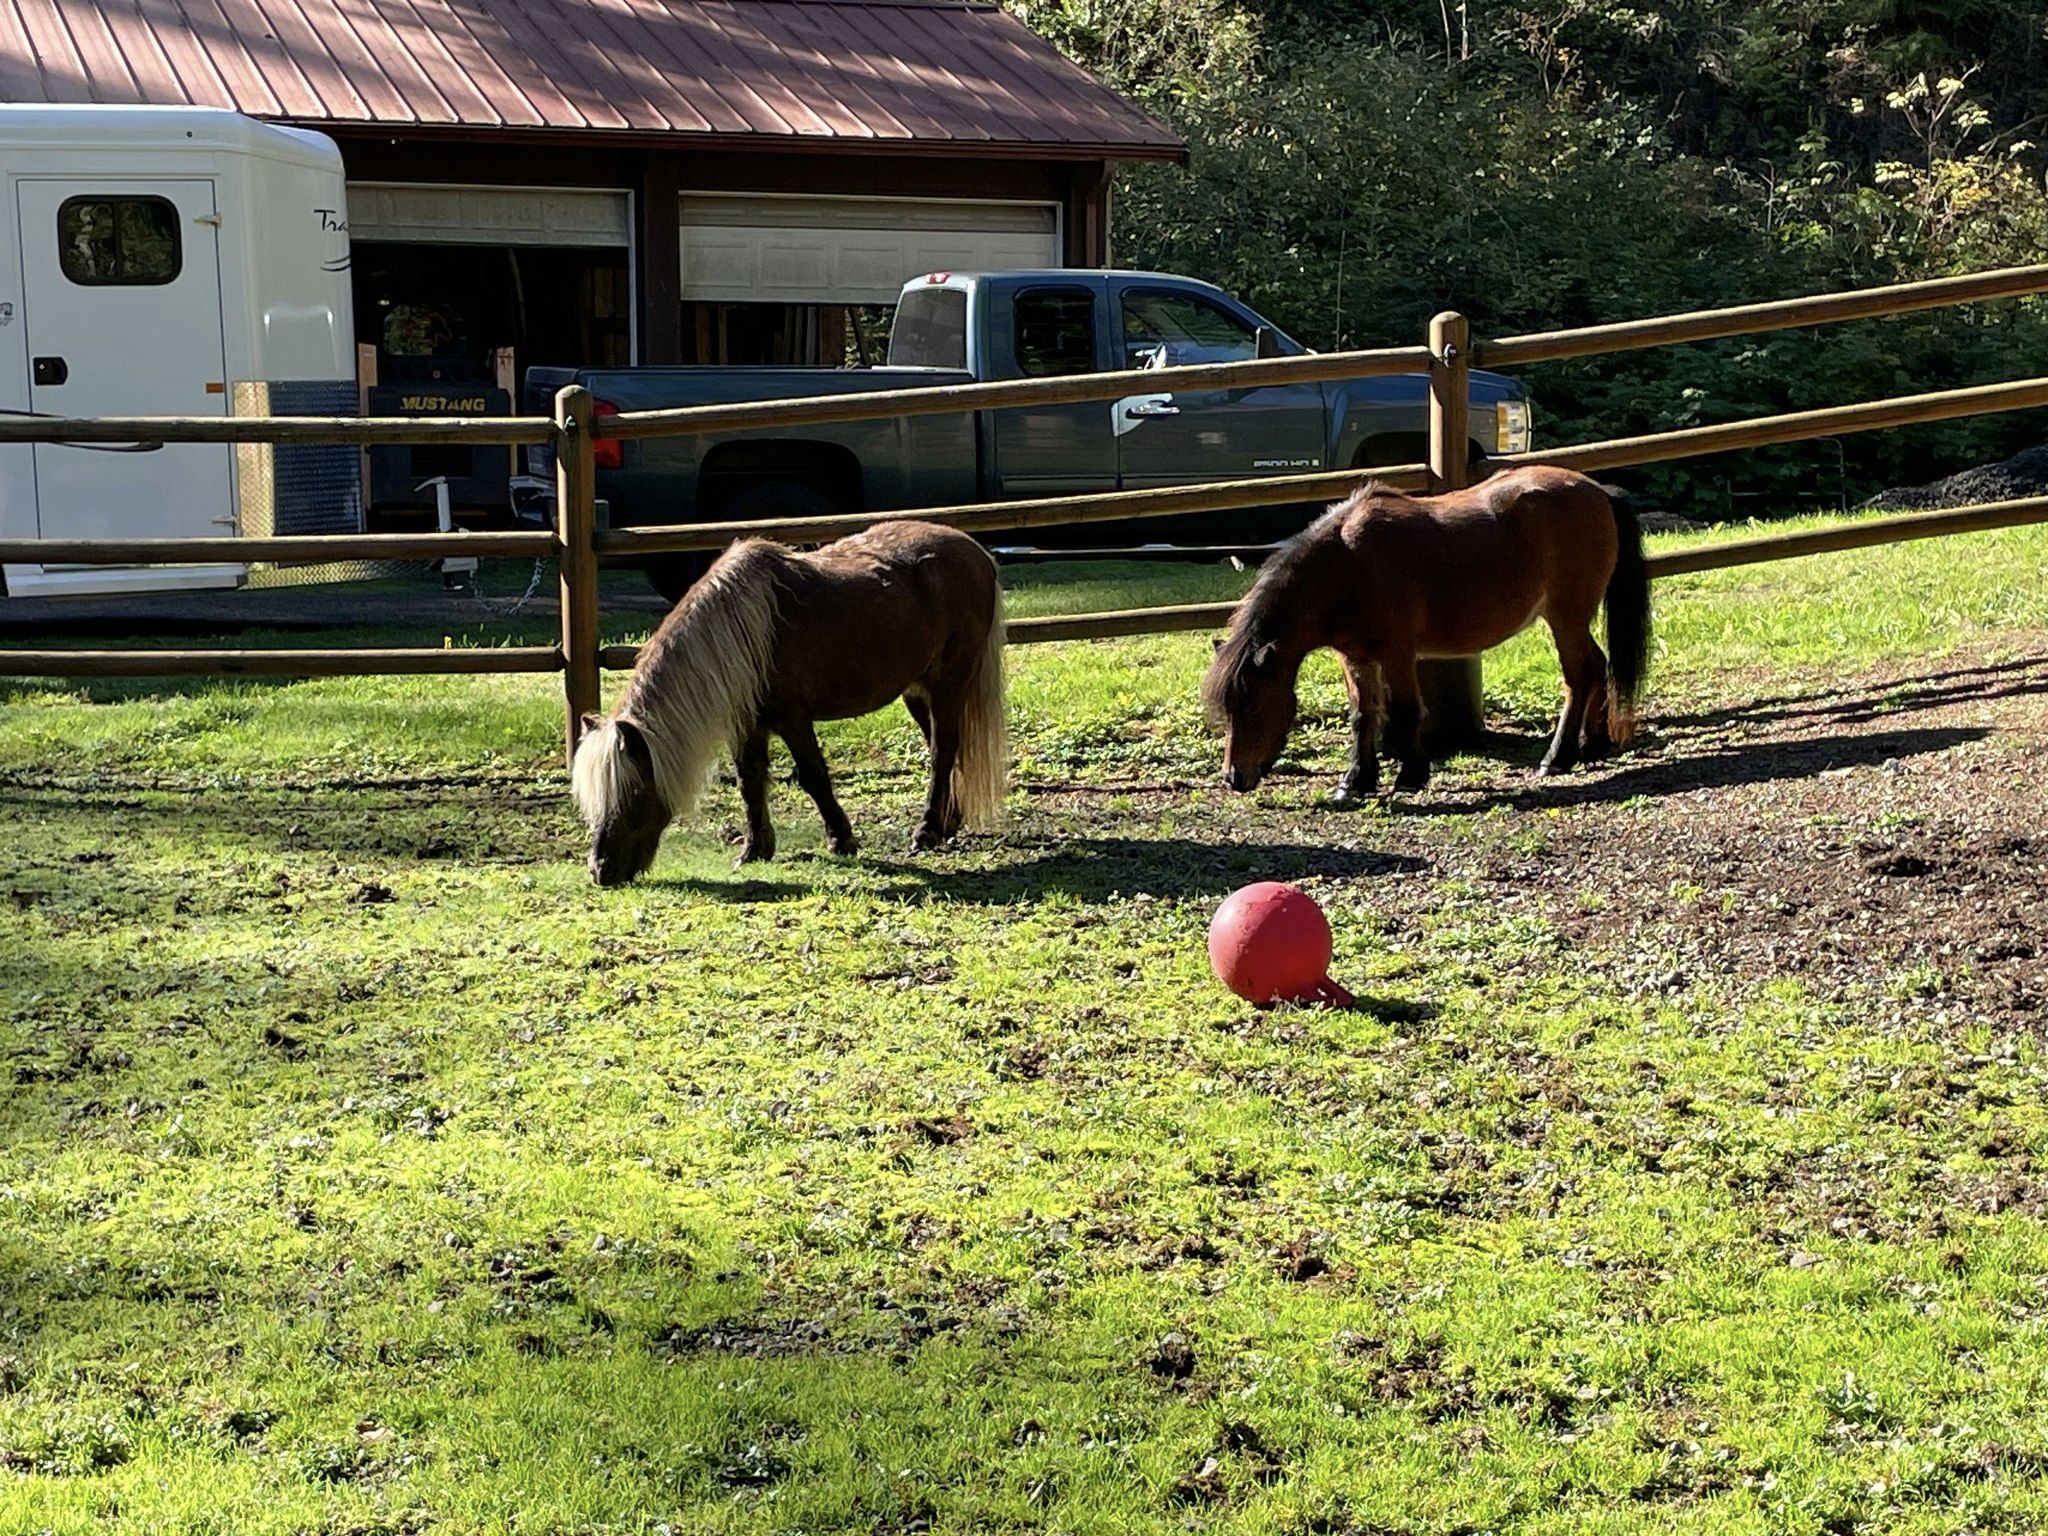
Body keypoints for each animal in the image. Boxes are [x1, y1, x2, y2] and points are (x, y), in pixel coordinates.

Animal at [573, 524, 1003, 888]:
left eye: (633, 793)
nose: (601, 871)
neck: (745, 631)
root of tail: (978, 553)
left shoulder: (793, 720)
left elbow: (813, 777)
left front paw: (841, 840)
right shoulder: (746, 725)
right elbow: (749, 782)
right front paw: (755, 849)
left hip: (948, 687)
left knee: (942, 752)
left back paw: (926, 831)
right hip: (918, 693)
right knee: (944, 750)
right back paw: (948, 823)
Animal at [1196, 466, 1646, 806]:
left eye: (1253, 706)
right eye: (1228, 708)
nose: (1234, 777)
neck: (1348, 565)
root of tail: (1598, 491)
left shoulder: (1397, 653)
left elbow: (1406, 710)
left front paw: (1410, 775)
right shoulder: (1356, 657)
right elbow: (1363, 715)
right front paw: (1355, 781)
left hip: (1565, 617)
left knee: (1579, 675)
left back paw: (1558, 756)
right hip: (1571, 619)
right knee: (1597, 666)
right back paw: (1593, 744)